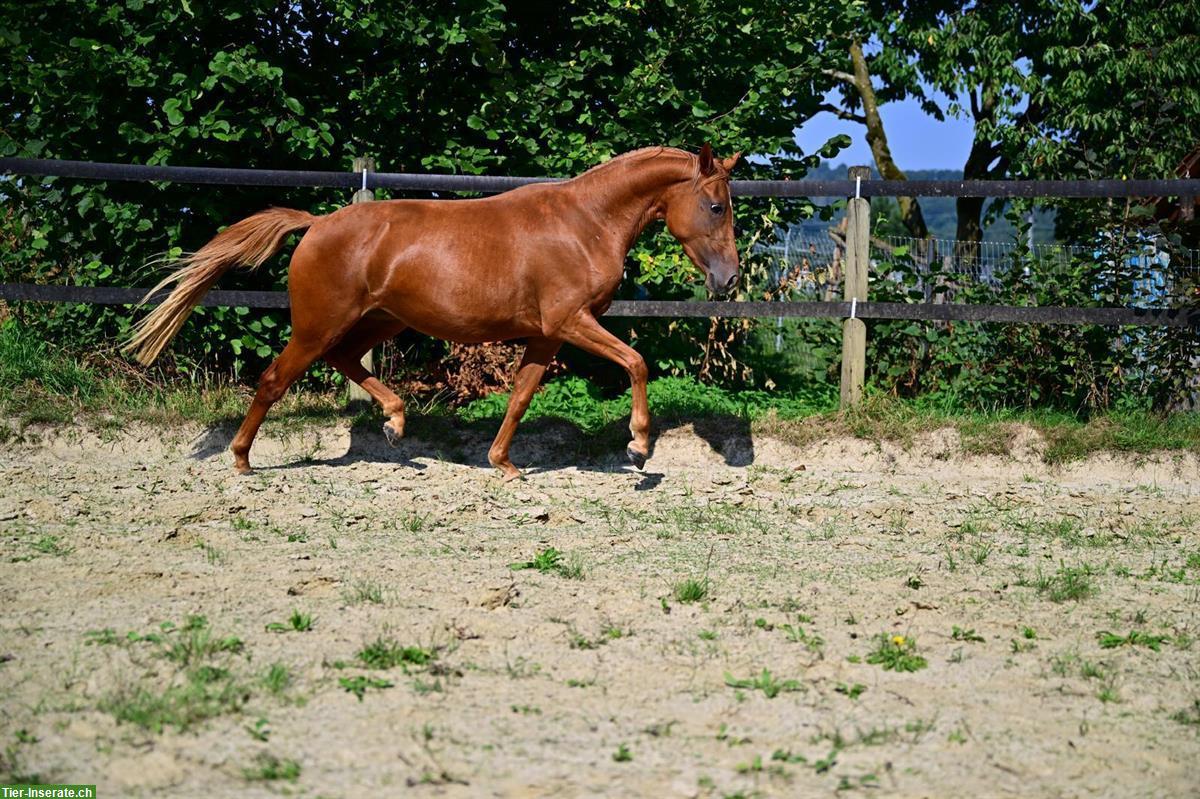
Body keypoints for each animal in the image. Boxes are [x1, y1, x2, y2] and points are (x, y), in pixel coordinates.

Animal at [124, 145, 739, 475]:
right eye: (716, 206)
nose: (729, 279)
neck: (583, 224)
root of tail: (317, 224)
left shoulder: (548, 335)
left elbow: (520, 396)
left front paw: (503, 463)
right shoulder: (571, 321)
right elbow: (636, 362)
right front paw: (638, 447)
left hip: (379, 320)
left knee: (346, 361)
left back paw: (397, 424)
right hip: (320, 324)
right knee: (275, 379)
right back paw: (243, 459)